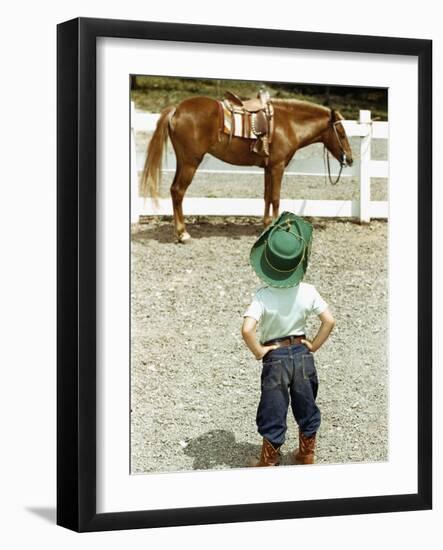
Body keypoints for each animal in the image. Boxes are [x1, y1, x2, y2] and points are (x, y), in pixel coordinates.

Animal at [142, 96, 354, 242]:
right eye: (342, 134)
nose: (350, 159)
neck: (288, 124)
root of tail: (176, 110)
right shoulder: (277, 167)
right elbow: (275, 198)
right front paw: (275, 228)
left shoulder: (268, 168)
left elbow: (267, 197)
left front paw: (266, 225)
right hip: (190, 163)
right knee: (178, 191)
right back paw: (183, 234)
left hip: (183, 162)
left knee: (173, 190)